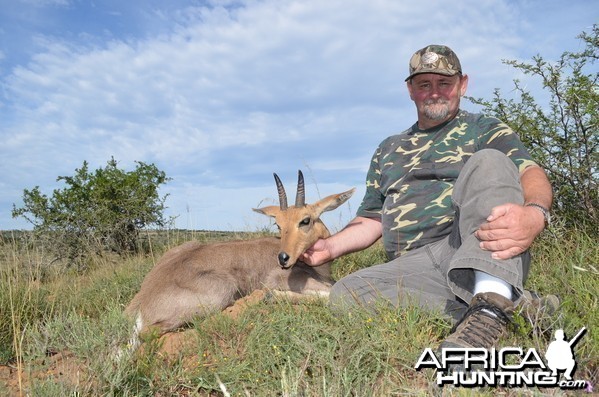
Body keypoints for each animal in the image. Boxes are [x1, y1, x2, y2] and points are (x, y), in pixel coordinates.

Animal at [124, 169, 354, 338]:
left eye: (305, 220)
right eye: (278, 225)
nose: (283, 258)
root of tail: (142, 301)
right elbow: (333, 293)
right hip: (222, 290)